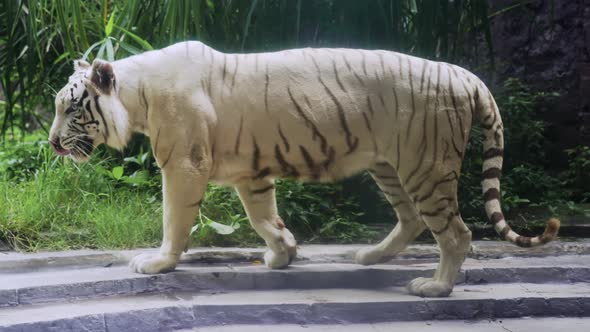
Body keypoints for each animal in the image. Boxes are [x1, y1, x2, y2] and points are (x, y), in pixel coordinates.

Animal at [49, 40, 560, 296]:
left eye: (72, 109)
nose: (53, 144)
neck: (137, 95)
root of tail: (463, 73)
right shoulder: (252, 175)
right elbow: (262, 217)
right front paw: (283, 253)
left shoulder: (183, 165)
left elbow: (175, 219)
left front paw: (157, 262)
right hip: (389, 166)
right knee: (412, 218)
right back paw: (371, 256)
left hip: (425, 166)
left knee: (457, 232)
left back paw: (434, 286)